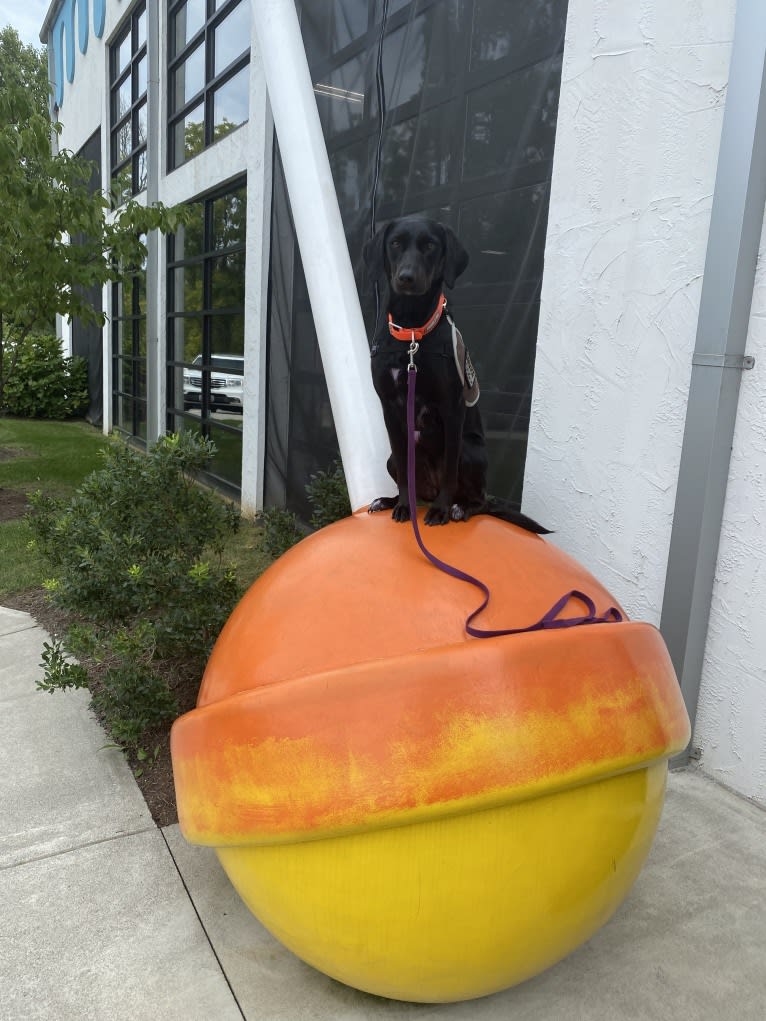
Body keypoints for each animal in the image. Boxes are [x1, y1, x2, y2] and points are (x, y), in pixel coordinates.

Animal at [363, 216, 547, 535]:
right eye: (395, 243)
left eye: (430, 246)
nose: (407, 277)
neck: (412, 332)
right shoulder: (389, 409)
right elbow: (404, 471)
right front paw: (402, 506)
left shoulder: (452, 409)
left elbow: (449, 468)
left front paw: (441, 510)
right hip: (392, 460)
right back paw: (390, 500)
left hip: (470, 452)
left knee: (481, 500)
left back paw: (458, 507)